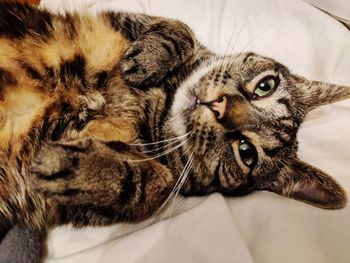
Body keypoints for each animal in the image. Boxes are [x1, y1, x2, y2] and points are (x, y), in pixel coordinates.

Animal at [0, 0, 350, 243]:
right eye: (265, 86)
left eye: (246, 151)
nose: (220, 107)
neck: (162, 99)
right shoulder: (125, 19)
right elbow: (180, 27)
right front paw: (148, 58)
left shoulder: (63, 205)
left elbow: (157, 183)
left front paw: (79, 169)